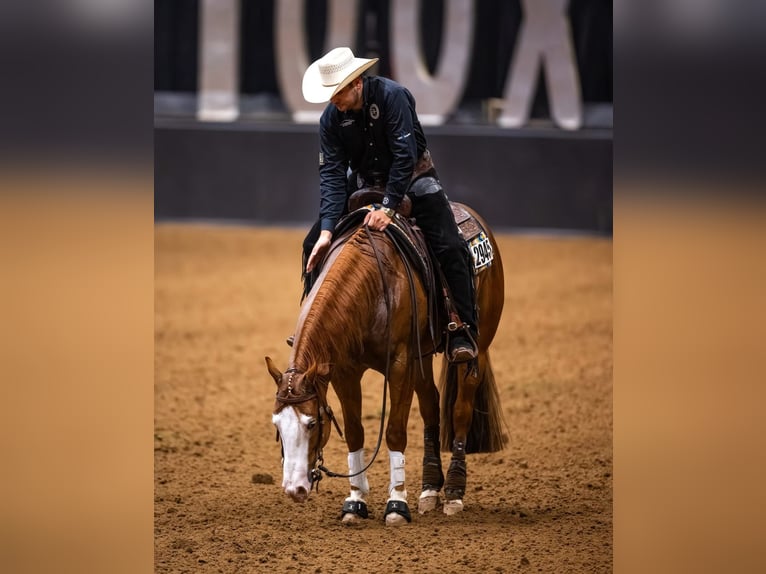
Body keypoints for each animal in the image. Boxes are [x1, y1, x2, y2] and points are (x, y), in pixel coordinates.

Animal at [265, 196, 507, 524]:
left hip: (476, 350)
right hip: (423, 357)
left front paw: (397, 504)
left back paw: (454, 493)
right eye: (277, 424)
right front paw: (355, 502)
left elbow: (394, 431)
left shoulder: (400, 365)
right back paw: (430, 490)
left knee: (460, 411)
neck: (374, 286)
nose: (294, 489)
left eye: (312, 423)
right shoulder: (344, 371)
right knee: (431, 407)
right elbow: (355, 433)